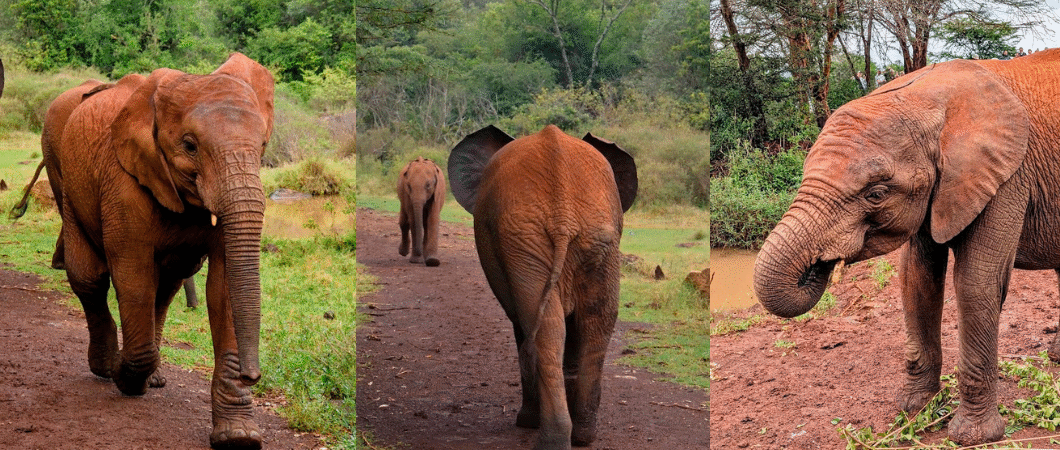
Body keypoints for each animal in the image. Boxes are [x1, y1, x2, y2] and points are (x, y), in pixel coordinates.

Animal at [35, 53, 274, 449]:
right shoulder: (123, 178)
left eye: (264, 147)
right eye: (190, 145)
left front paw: (238, 436)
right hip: (64, 177)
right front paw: (123, 375)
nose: (252, 375)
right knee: (89, 278)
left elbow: (224, 288)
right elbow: (133, 277)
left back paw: (154, 378)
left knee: (166, 288)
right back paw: (106, 367)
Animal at [448, 124, 638, 450]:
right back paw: (583, 435)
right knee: (595, 321)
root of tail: (563, 211)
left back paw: (550, 436)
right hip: (589, 238)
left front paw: (525, 421)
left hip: (529, 239)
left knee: (546, 327)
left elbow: (522, 325)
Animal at [752, 51, 1060, 445]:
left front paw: (972, 436)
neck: (923, 96)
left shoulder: (1009, 176)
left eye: (876, 193)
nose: (820, 264)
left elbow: (976, 283)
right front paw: (914, 408)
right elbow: (916, 278)